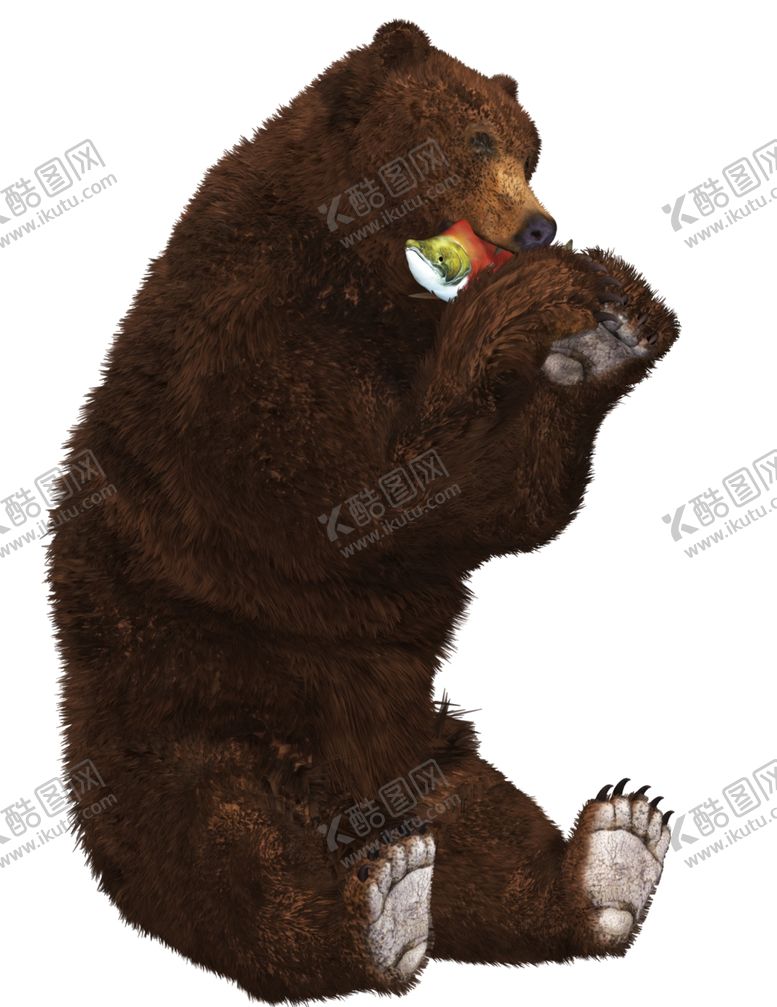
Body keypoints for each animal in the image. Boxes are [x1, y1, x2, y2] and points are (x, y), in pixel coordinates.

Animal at [47, 20, 680, 1004]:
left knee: (487, 838)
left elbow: (502, 499)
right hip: (187, 716)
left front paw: (610, 320)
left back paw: (610, 856)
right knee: (225, 848)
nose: (536, 224)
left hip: (425, 752)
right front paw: (534, 301)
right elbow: (360, 486)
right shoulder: (250, 343)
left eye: (531, 147)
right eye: (477, 139)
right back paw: (371, 916)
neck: (369, 271)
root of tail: (354, 810)